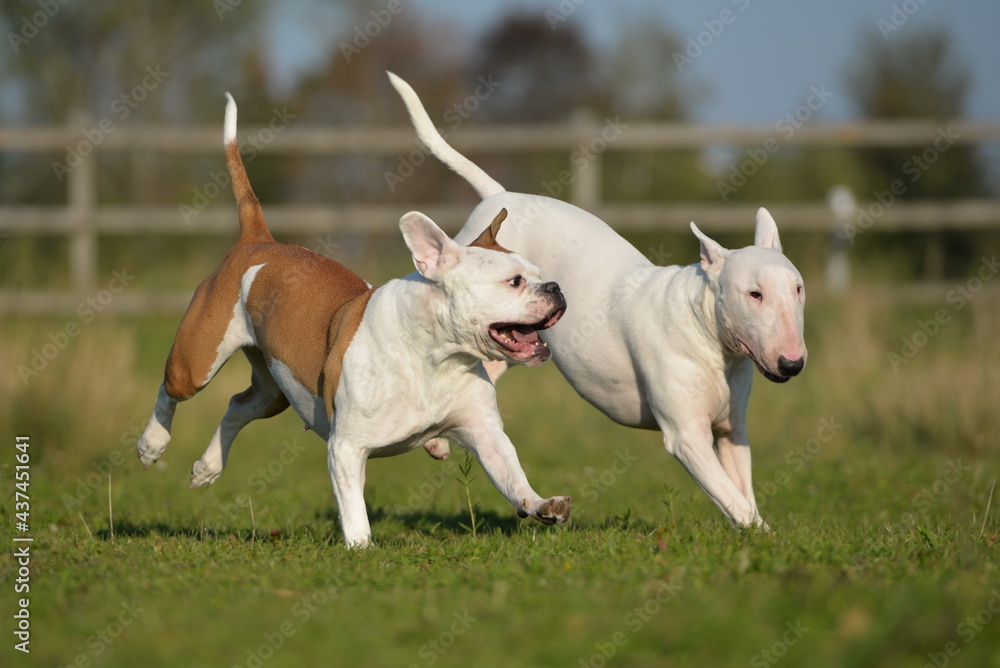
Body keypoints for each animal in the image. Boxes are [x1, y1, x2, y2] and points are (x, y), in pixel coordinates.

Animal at [136, 94, 572, 548]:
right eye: (514, 281)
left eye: (539, 272)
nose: (555, 287)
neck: (435, 355)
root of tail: (258, 242)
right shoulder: (346, 448)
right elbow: (353, 506)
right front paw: (361, 546)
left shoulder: (485, 434)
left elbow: (511, 475)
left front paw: (540, 505)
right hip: (195, 361)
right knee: (170, 390)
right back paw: (151, 444)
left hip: (273, 390)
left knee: (238, 406)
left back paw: (208, 466)